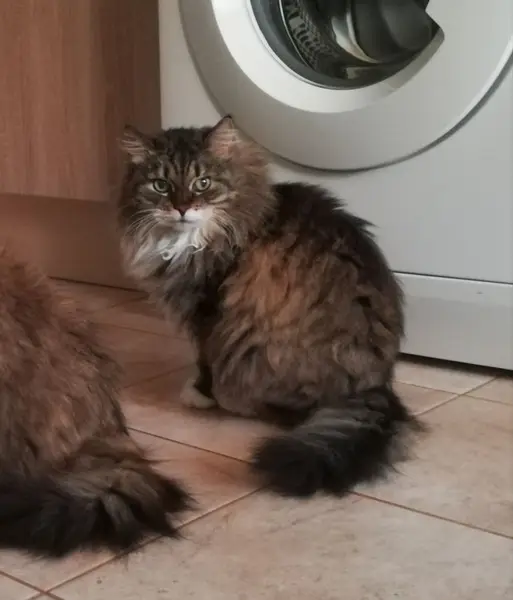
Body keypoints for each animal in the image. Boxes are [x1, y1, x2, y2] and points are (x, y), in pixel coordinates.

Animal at [118, 116, 422, 498]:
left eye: (203, 183)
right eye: (160, 185)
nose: (182, 208)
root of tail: (375, 383)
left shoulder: (209, 310)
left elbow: (204, 359)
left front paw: (199, 394)